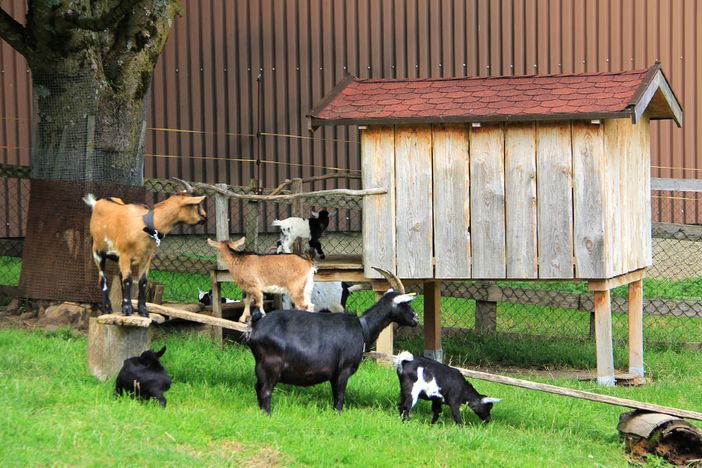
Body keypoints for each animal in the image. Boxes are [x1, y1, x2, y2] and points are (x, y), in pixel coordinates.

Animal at [84, 177, 208, 316]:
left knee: (120, 276)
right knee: (103, 279)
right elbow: (128, 280)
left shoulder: (147, 258)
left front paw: (142, 309)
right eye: (196, 204)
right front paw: (128, 309)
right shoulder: (125, 254)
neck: (145, 223)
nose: (205, 217)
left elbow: (142, 281)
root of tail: (96, 203)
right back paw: (108, 308)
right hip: (98, 252)